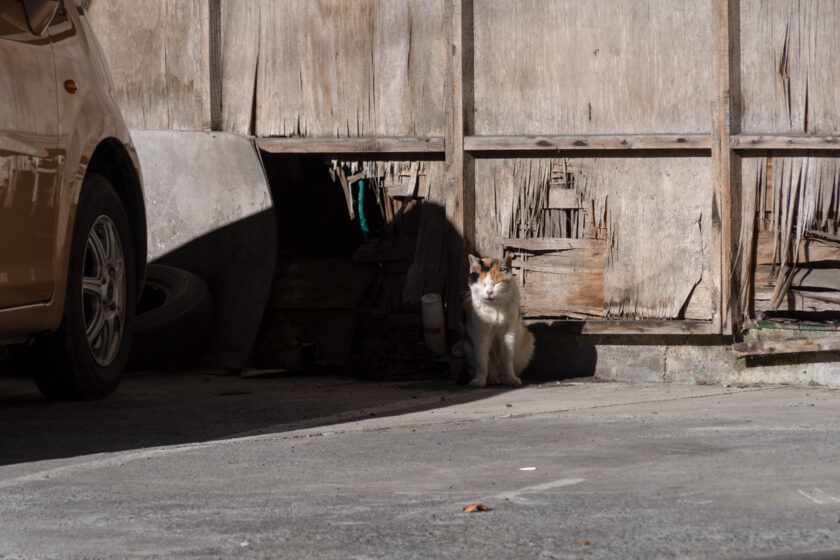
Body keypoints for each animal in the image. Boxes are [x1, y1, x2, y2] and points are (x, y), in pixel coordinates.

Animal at [462, 256, 536, 388]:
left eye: (497, 283)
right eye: (483, 284)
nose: (489, 292)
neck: (495, 307)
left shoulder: (508, 331)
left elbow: (507, 356)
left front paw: (511, 379)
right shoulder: (481, 332)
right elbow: (481, 357)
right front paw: (479, 380)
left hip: (528, 343)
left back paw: (502, 379)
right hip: (467, 347)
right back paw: (490, 379)